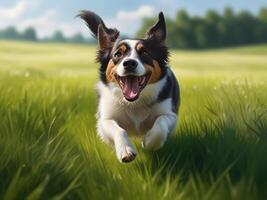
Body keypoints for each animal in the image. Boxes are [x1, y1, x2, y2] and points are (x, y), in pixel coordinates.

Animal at [79, 10, 180, 162]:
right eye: (118, 54)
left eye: (144, 52)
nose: (129, 63)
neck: (135, 103)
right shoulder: (105, 118)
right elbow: (118, 129)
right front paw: (125, 150)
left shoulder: (170, 114)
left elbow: (161, 124)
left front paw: (149, 142)